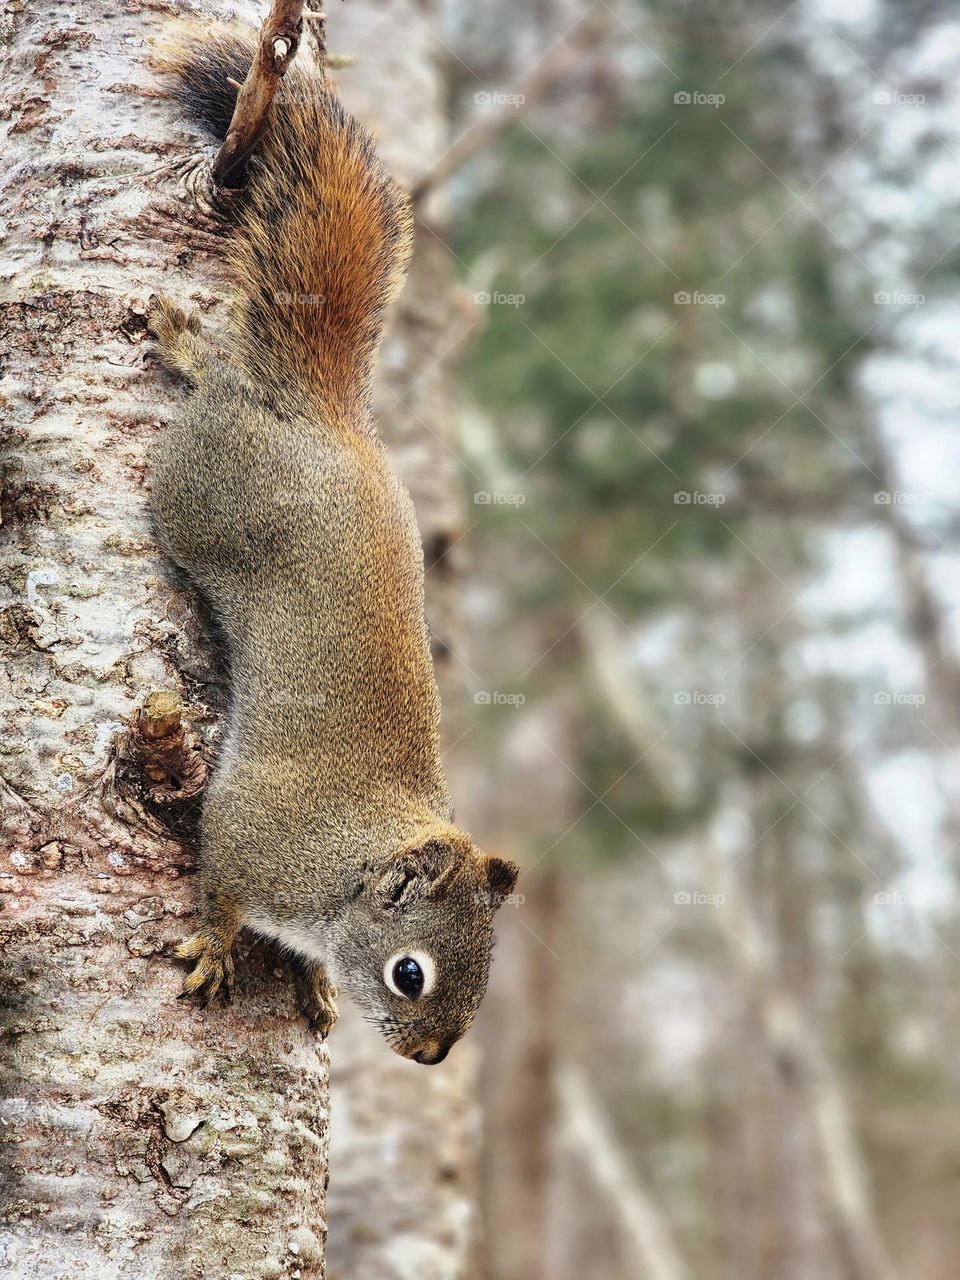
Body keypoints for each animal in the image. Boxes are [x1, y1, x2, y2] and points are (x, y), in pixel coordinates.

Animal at [147, 20, 519, 1064]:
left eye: (486, 978)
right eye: (411, 973)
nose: (432, 1056)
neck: (346, 863)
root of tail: (328, 414)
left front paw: (311, 980)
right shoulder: (249, 832)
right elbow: (221, 885)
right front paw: (216, 945)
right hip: (195, 492)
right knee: (214, 392)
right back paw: (188, 349)